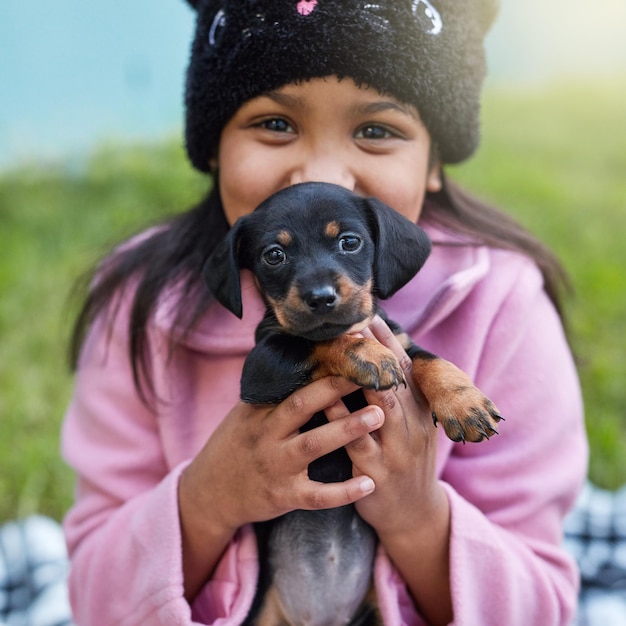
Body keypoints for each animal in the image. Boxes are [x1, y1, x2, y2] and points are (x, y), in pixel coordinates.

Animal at [202, 180, 500, 624]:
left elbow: (430, 361)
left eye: (349, 242)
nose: (321, 298)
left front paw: (464, 404)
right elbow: (321, 340)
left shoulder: (403, 342)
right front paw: (366, 354)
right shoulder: (261, 368)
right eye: (274, 255)